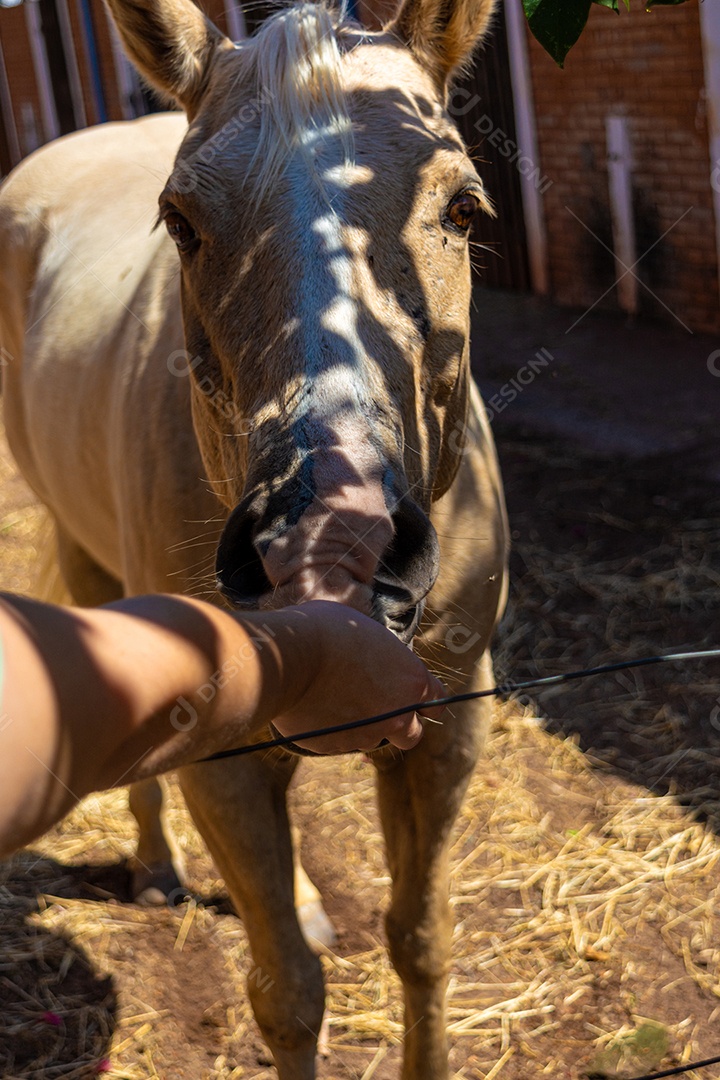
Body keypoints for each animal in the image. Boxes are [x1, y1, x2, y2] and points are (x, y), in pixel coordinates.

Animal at [0, 0, 508, 1074]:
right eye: (181, 221)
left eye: (461, 210)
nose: (330, 548)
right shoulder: (221, 757)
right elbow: (287, 997)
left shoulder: (450, 725)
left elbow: (422, 943)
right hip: (88, 566)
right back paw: (157, 867)